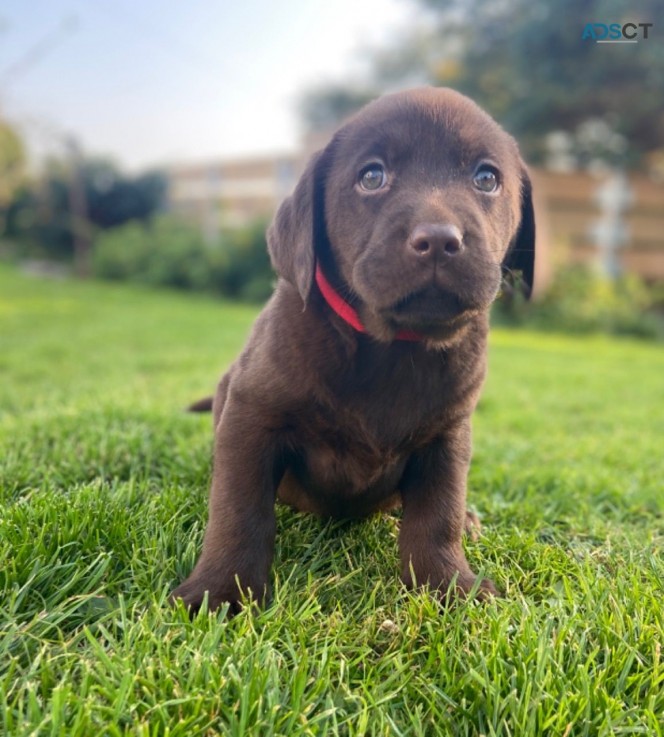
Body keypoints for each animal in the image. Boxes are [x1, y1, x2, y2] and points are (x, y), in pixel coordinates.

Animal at [171, 86, 536, 612]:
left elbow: (438, 513)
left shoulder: (447, 436)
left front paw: (446, 585)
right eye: (372, 176)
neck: (392, 346)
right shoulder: (251, 415)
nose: (439, 240)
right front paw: (221, 591)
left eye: (486, 178)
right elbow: (238, 509)